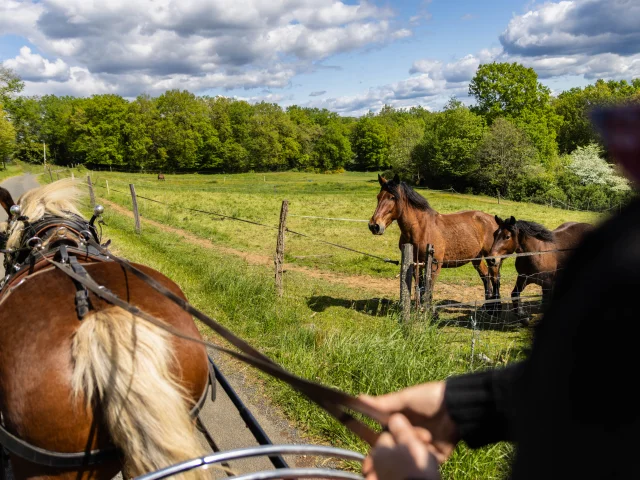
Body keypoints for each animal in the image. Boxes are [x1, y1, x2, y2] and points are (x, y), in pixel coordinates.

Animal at [370, 174, 500, 304]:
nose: (374, 226)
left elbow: (428, 291)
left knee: (495, 278)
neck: (421, 229)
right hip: (477, 258)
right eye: (378, 197)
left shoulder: (434, 266)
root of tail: (493, 220)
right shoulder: (416, 264)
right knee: (486, 276)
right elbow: (420, 288)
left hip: (491, 259)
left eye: (392, 197)